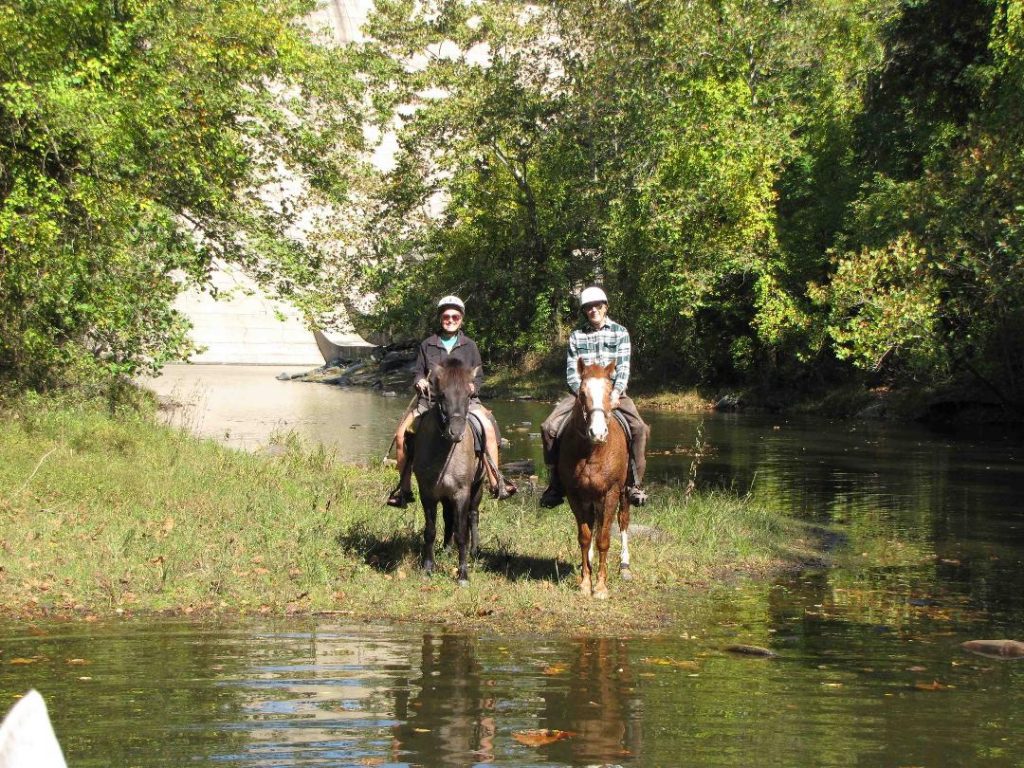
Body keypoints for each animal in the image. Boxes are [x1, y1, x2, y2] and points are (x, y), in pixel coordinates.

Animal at [411, 358, 483, 585]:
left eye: (469, 395)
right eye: (441, 394)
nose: (456, 432)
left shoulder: (461, 493)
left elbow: (462, 534)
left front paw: (463, 574)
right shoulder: (428, 493)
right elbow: (430, 530)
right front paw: (428, 567)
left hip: (477, 488)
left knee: (472, 515)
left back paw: (474, 550)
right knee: (448, 517)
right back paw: (446, 548)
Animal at [561, 360, 630, 602]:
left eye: (609, 392)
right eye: (582, 393)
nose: (598, 433)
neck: (593, 451)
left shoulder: (611, 493)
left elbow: (604, 539)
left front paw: (600, 587)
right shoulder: (575, 495)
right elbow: (585, 536)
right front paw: (585, 582)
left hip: (624, 493)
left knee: (623, 522)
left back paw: (625, 566)